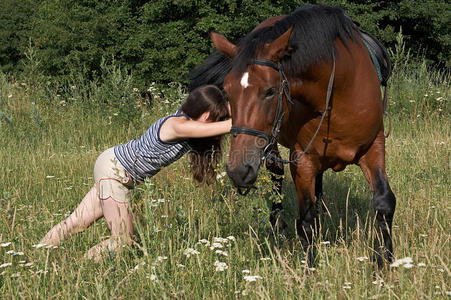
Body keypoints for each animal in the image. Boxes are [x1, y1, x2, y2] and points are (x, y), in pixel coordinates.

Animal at [189, 5, 398, 268]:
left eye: (270, 91)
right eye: (227, 91)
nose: (238, 171)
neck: (339, 91)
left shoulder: (374, 146)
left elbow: (384, 202)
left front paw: (384, 261)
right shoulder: (302, 159)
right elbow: (305, 220)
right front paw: (308, 268)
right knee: (276, 173)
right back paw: (277, 221)